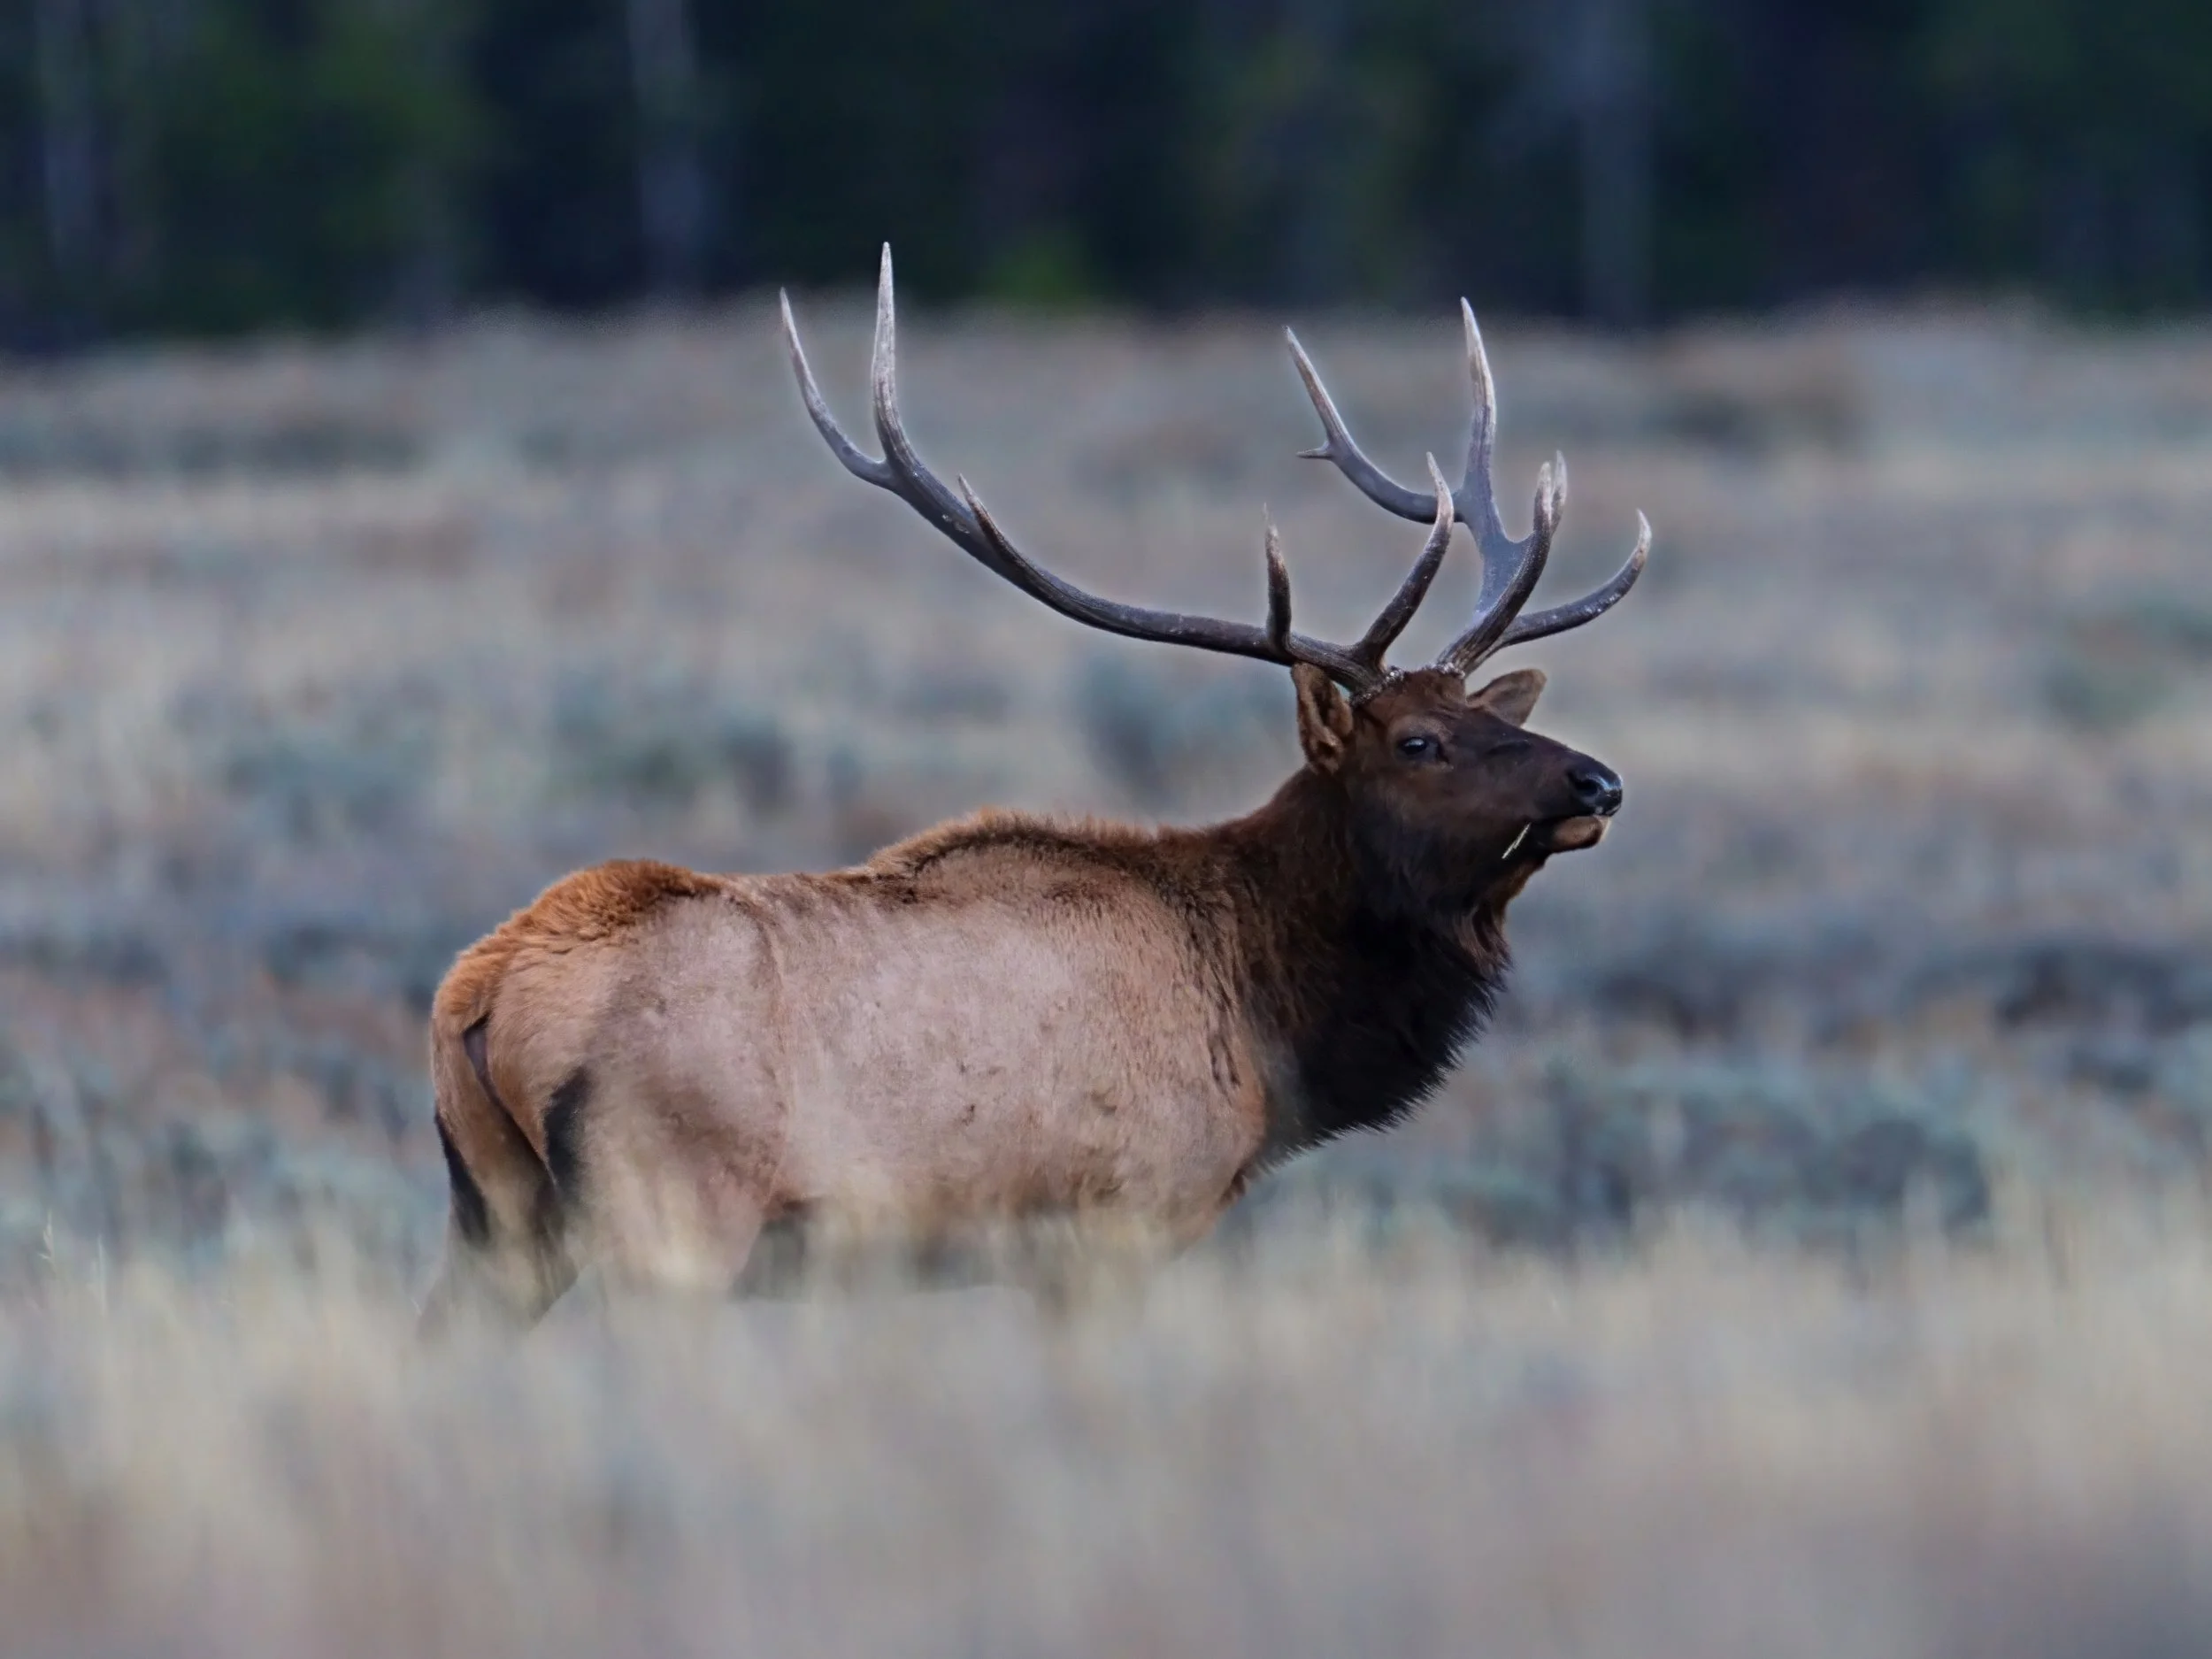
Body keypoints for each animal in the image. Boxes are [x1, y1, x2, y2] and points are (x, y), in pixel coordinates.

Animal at [417, 246, 1650, 1335]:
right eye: (1419, 743)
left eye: (1498, 716)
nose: (1598, 780)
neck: (1265, 1013)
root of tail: (479, 996)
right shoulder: (1115, 1223)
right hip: (670, 1214)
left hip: (499, 1223)